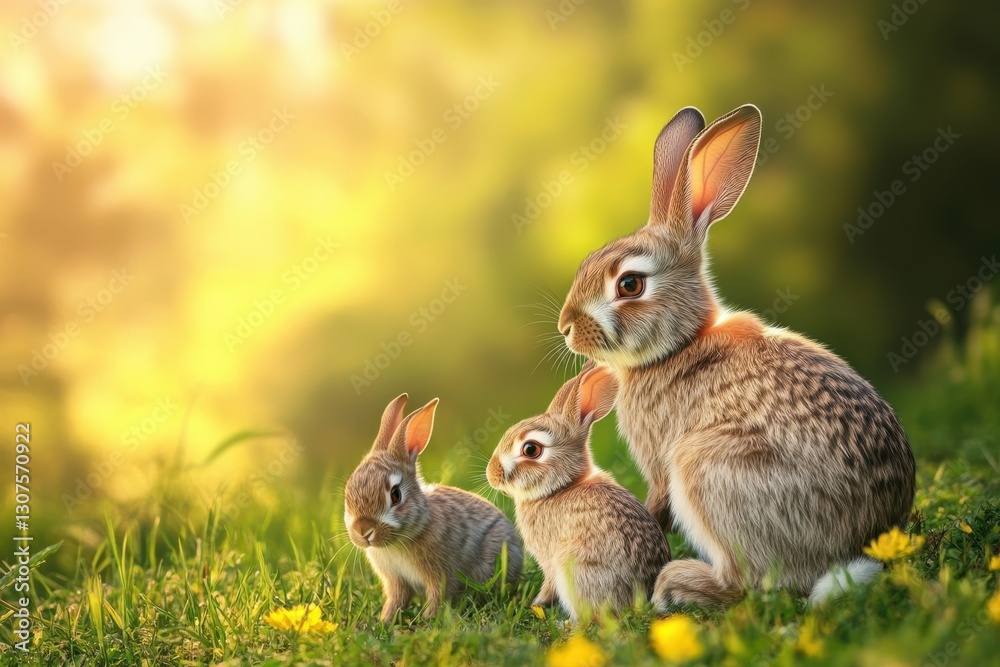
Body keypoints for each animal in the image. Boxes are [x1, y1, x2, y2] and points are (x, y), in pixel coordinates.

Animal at [344, 394, 523, 622]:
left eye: (395, 495)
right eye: (347, 493)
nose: (363, 531)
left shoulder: (441, 573)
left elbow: (439, 595)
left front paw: (428, 619)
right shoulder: (396, 581)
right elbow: (397, 600)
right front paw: (385, 620)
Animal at [486, 362, 670, 621]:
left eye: (531, 449)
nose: (491, 474)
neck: (561, 488)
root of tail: (638, 599)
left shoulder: (550, 560)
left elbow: (548, 584)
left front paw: (536, 603)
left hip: (573, 568)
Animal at [554, 104, 915, 608]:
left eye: (630, 284)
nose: (566, 327)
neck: (679, 344)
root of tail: (865, 542)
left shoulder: (662, 466)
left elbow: (655, 507)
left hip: (708, 469)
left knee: (750, 582)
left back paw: (676, 584)